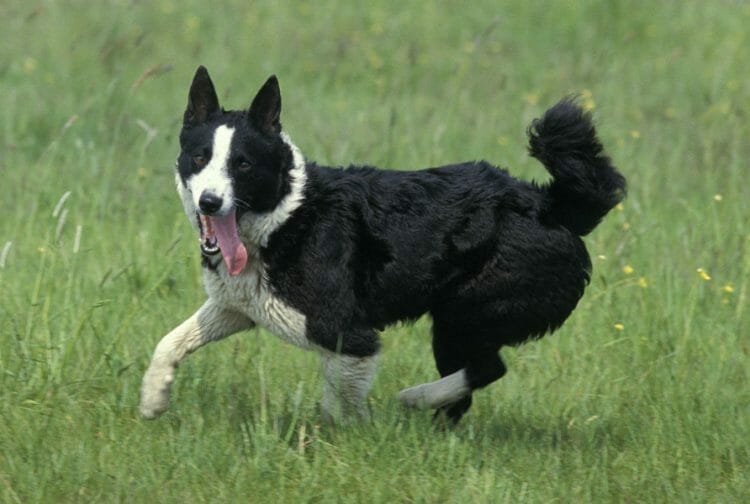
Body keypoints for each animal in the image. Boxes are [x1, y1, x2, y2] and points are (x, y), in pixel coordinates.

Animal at [141, 65, 628, 424]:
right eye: (200, 158)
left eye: (242, 165)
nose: (209, 201)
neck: (285, 216)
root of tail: (555, 205)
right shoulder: (238, 306)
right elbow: (170, 341)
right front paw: (152, 399)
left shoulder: (346, 333)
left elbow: (341, 404)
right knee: (470, 389)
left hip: (464, 311)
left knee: (487, 368)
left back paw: (415, 399)